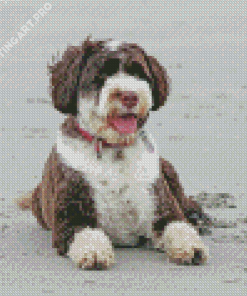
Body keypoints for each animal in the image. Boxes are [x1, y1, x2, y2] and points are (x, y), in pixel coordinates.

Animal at [17, 36, 211, 268]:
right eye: (102, 75)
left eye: (139, 74)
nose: (130, 96)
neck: (114, 149)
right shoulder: (71, 217)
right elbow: (86, 233)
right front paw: (94, 252)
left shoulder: (161, 207)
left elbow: (178, 226)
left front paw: (191, 246)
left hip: (168, 168)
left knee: (186, 202)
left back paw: (198, 218)